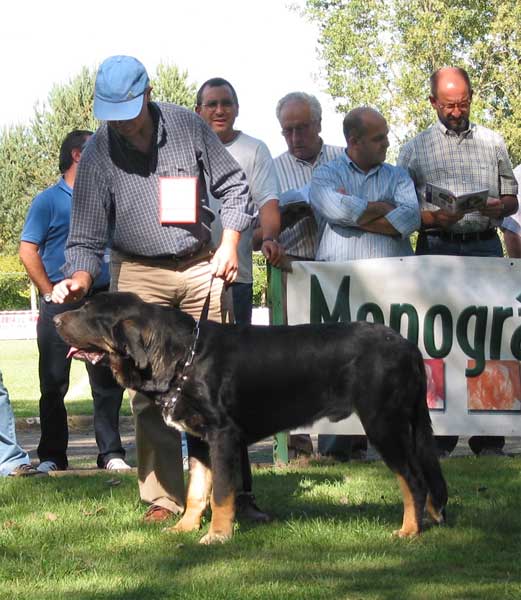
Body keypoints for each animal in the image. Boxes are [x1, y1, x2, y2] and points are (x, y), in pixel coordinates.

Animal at [55, 290, 446, 544]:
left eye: (88, 311)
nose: (56, 317)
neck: (184, 357)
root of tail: (408, 347)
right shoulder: (198, 439)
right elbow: (196, 491)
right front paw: (185, 528)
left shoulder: (223, 436)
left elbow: (222, 492)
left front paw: (217, 535)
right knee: (428, 476)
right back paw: (433, 518)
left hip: (384, 425)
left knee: (414, 479)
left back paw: (409, 530)